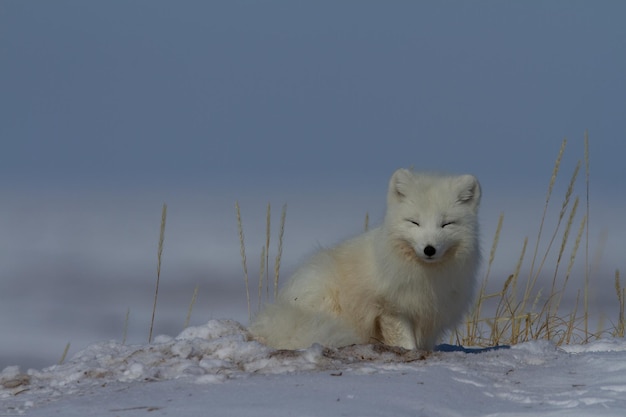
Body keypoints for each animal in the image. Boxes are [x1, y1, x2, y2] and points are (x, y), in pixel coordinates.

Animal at [247, 169, 478, 352]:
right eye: (414, 222)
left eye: (446, 224)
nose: (429, 249)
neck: (427, 277)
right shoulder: (391, 309)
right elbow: (406, 342)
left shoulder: (432, 314)